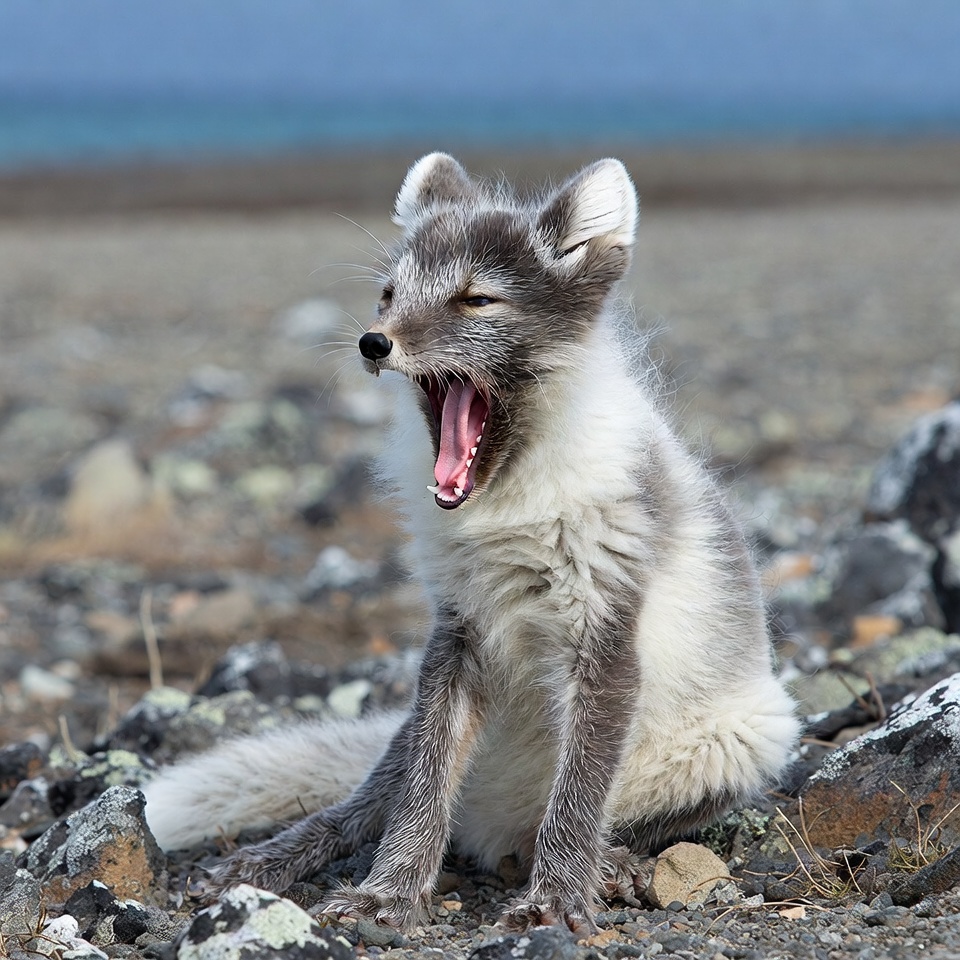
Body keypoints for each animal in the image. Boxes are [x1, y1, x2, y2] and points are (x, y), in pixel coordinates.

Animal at [142, 153, 799, 932]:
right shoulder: (457, 634)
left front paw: (554, 900)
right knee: (366, 804)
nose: (373, 341)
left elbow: (578, 796)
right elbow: (421, 794)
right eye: (388, 294)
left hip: (746, 737)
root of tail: (493, 824)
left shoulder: (606, 634)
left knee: (579, 822)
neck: (509, 504)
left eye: (476, 299)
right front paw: (388, 892)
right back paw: (265, 861)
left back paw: (608, 863)